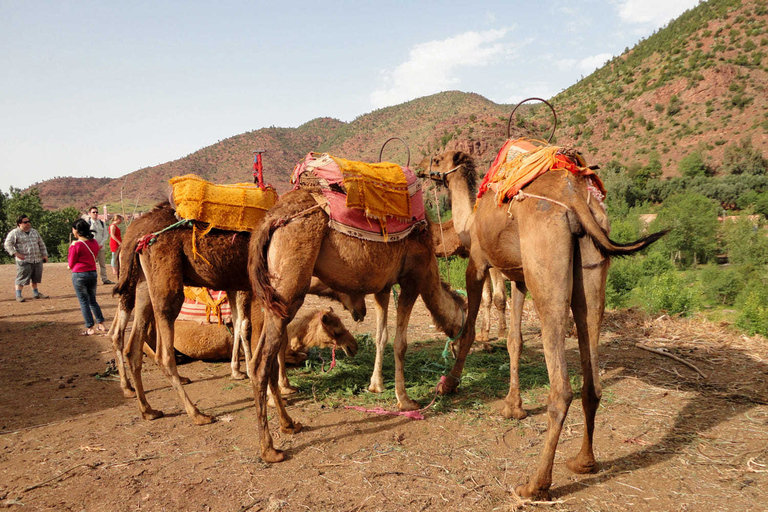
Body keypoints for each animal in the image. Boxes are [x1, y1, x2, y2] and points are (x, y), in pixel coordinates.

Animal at [424, 149, 668, 500]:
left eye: (437, 159)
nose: (421, 170)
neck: (469, 220)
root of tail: (574, 196)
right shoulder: (519, 276)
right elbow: (514, 340)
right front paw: (513, 406)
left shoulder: (480, 261)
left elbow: (471, 326)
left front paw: (449, 384)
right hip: (591, 263)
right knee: (591, 367)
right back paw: (583, 462)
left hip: (546, 261)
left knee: (561, 387)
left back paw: (535, 484)